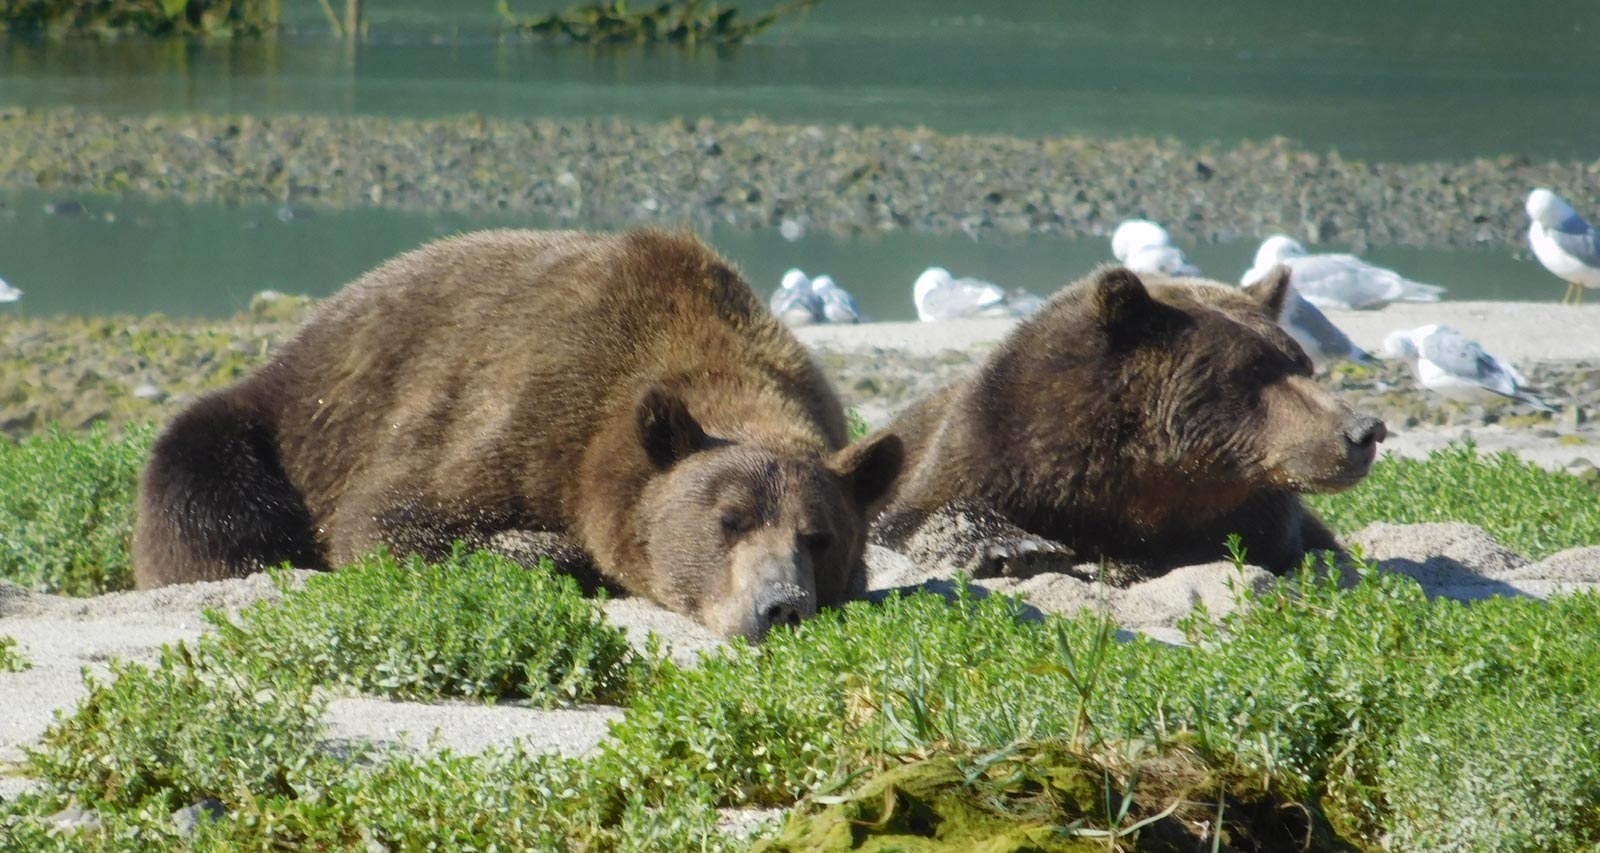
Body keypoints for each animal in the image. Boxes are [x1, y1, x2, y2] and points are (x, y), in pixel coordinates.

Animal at [133, 228, 902, 640]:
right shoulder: (517, 408)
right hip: (276, 421)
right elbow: (390, 521)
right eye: (729, 520)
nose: (781, 604)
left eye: (819, 537)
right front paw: (549, 548)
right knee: (202, 486)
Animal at [867, 265, 1385, 581]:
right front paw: (1014, 548)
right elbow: (914, 519)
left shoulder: (1259, 517)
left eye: (1302, 364)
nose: (1364, 430)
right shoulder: (992, 449)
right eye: (1254, 369)